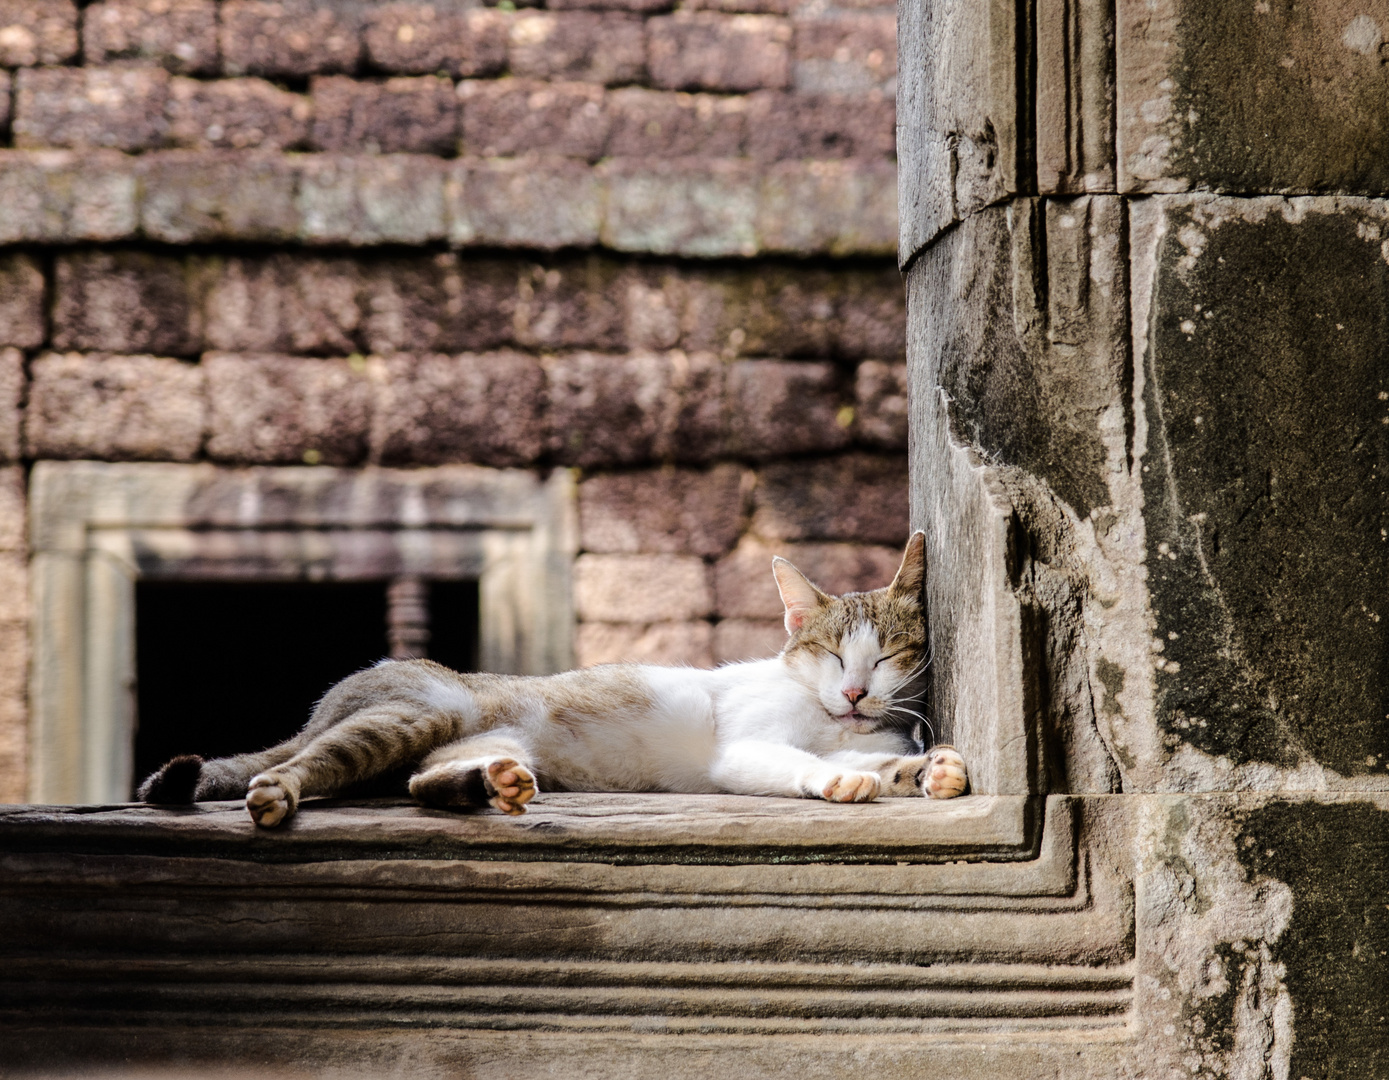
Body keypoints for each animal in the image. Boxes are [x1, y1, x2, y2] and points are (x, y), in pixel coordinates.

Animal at [138, 530, 966, 827]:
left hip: (464, 743)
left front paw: (929, 770)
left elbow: (886, 762)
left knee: (420, 782)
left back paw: (491, 786)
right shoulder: (747, 747)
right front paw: (841, 782)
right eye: (829, 653)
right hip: (417, 711)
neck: (830, 721)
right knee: (300, 766)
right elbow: (802, 763)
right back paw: (275, 795)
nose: (854, 693)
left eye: (886, 655)